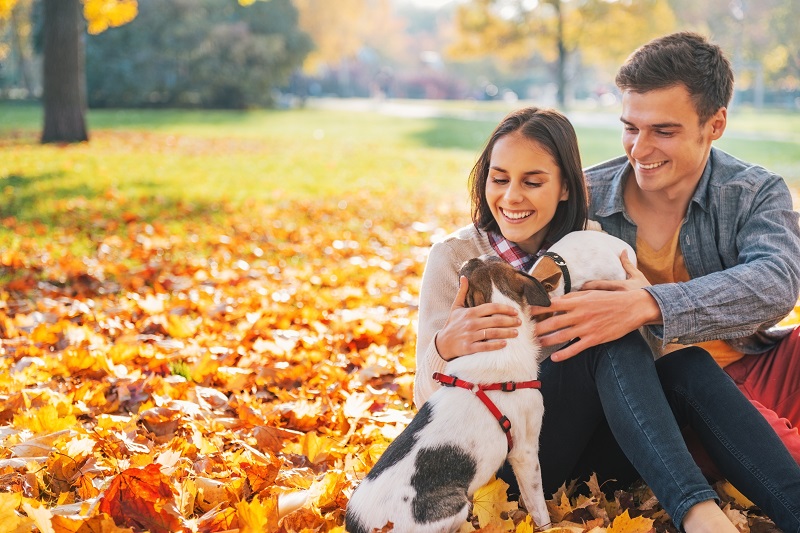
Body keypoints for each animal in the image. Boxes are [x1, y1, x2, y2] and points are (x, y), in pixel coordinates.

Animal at [344, 256, 552, 528]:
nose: (472, 258)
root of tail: (360, 525)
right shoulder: (525, 451)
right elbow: (538, 506)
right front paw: (550, 528)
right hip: (455, 506)